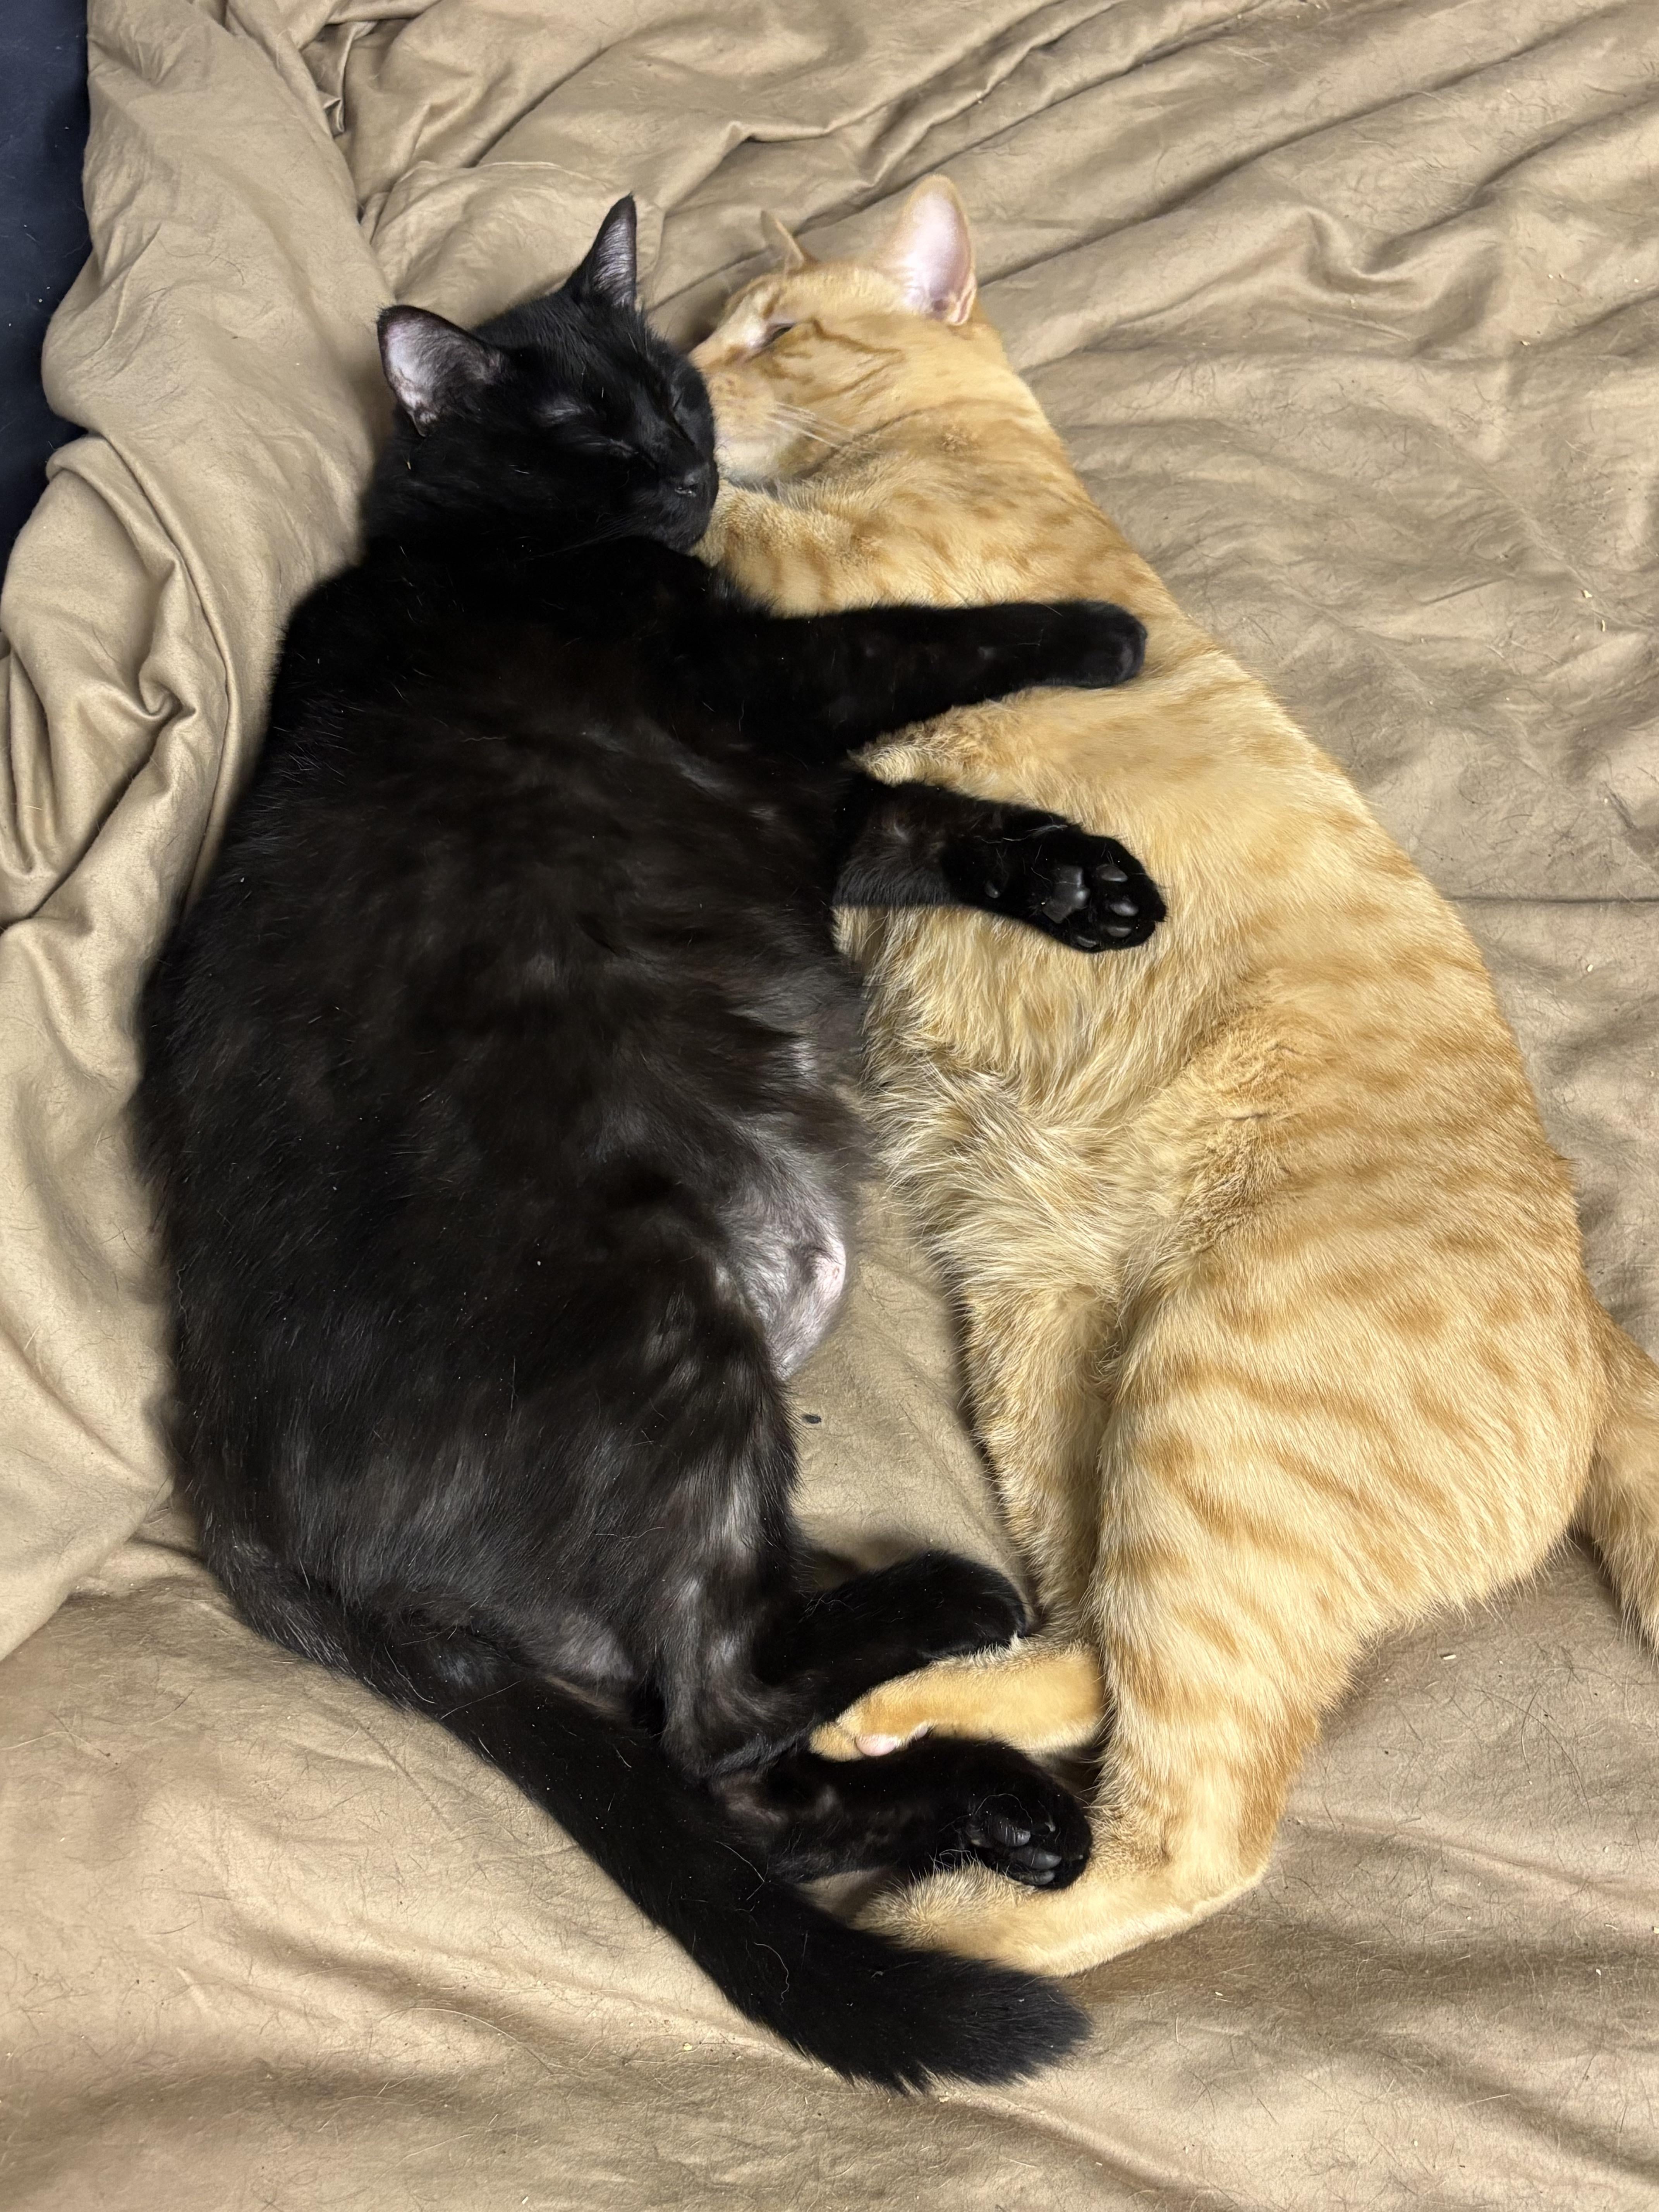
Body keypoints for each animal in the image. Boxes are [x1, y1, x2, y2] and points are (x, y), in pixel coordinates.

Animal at [135, 196, 1173, 2090]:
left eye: (674, 387)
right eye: (590, 421)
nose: (688, 461)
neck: (484, 541)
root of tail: (249, 1516)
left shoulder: (819, 801)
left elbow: (944, 817)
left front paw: (1082, 881)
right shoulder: (769, 681)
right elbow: (924, 640)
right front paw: (1095, 627)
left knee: (749, 1790)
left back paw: (998, 1810)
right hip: (662, 1336)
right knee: (719, 1707)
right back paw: (951, 1610)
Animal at [689, 177, 1659, 1976]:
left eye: (778, 329)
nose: (687, 360)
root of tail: (1591, 1315)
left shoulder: (858, 568)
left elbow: (727, 520)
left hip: (1206, 1422)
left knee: (1197, 1830)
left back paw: (930, 1927)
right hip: (1054, 1372)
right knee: (1094, 1661)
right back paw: (900, 1716)